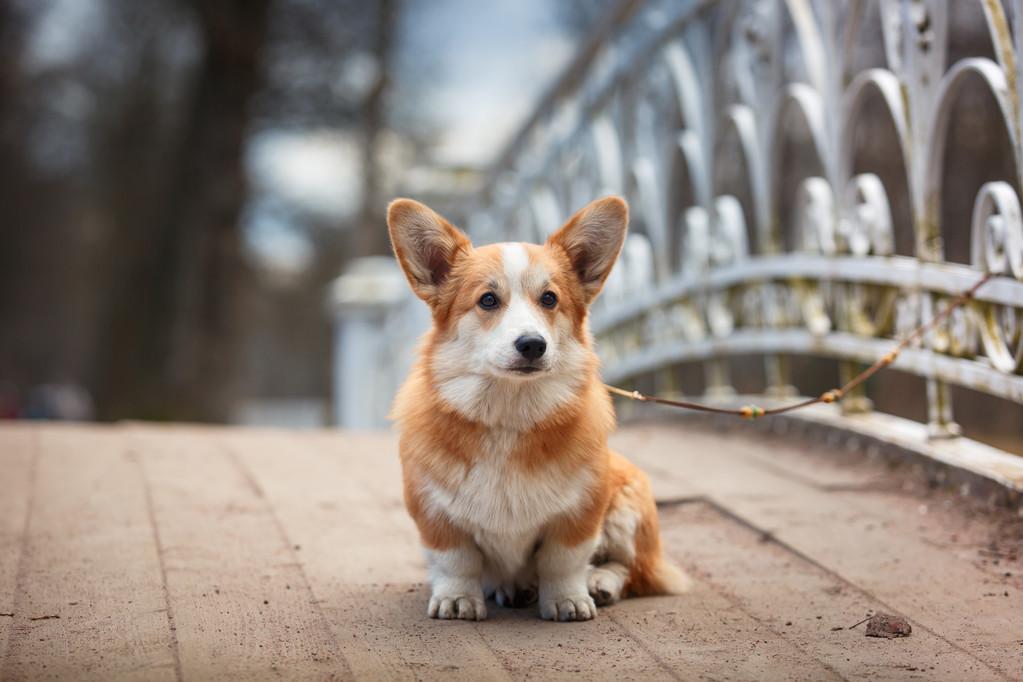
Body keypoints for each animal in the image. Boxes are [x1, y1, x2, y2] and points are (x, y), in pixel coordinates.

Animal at [386, 194, 691, 621]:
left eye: (549, 299)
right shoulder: (435, 513)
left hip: (629, 497)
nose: (532, 344)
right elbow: (456, 561)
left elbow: (562, 561)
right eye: (488, 300)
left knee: (634, 570)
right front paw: (457, 599)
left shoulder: (580, 512)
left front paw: (567, 599)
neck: (508, 415)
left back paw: (599, 582)